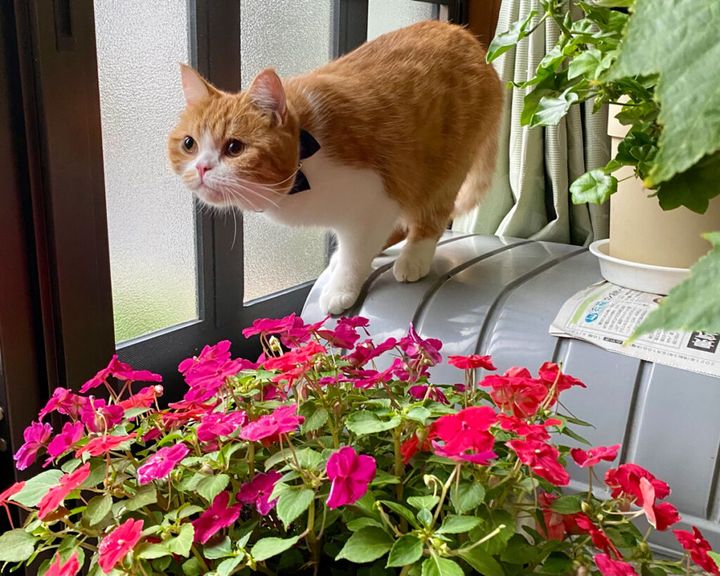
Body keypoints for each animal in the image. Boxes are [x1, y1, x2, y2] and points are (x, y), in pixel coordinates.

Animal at [168, 20, 503, 315]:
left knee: (432, 214)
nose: (202, 168)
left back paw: (413, 259)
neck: (304, 169)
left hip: (443, 168)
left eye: (234, 148)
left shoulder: (376, 202)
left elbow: (357, 255)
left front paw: (341, 289)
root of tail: (467, 38)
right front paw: (342, 260)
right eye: (189, 144)